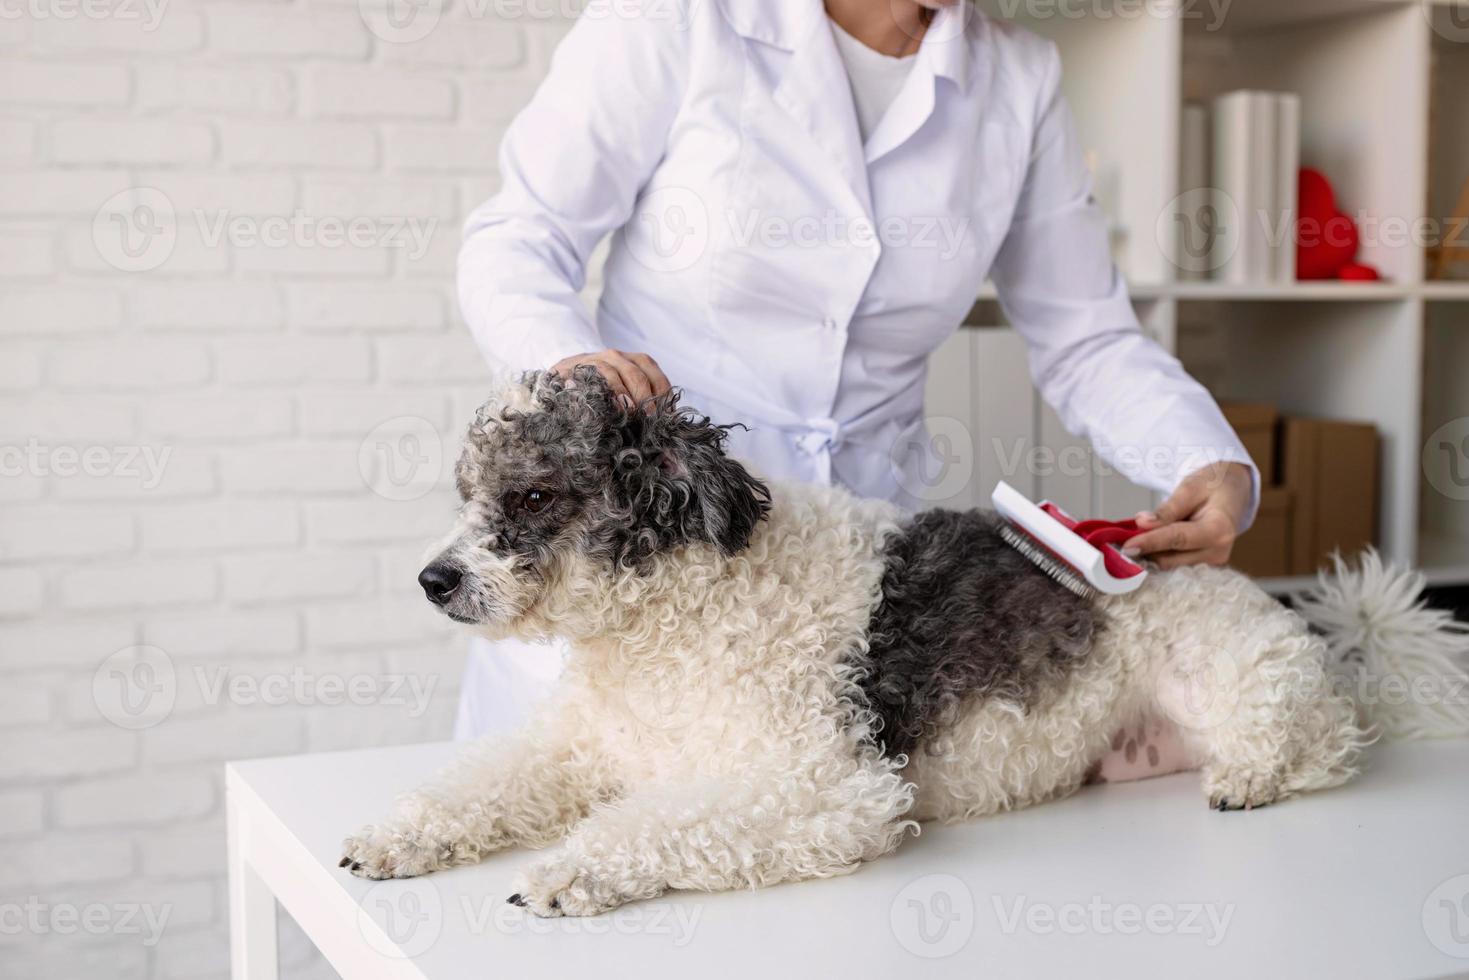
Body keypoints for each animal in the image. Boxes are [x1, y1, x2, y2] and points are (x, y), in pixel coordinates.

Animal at [346, 367, 1469, 922]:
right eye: (467, 494)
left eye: (535, 496)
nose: (433, 579)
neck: (674, 613)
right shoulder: (583, 746)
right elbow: (478, 781)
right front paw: (398, 835)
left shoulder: (829, 788)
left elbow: (659, 824)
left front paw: (573, 870)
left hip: (1239, 674)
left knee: (1316, 739)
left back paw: (1250, 772)